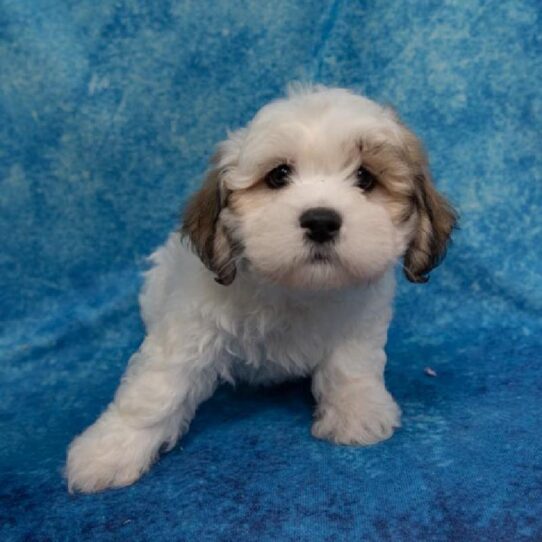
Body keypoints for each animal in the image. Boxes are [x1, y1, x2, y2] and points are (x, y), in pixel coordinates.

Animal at [67, 84, 460, 492]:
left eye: (365, 178)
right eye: (278, 175)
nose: (321, 221)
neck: (294, 289)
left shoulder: (359, 322)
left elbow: (351, 367)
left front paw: (358, 412)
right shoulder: (192, 327)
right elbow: (157, 389)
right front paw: (110, 451)